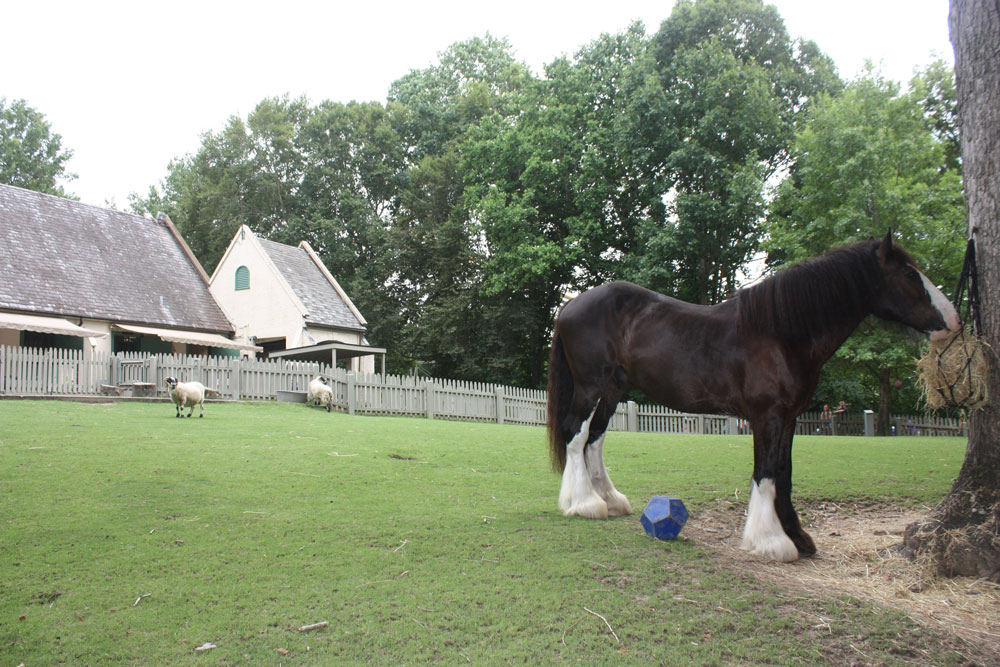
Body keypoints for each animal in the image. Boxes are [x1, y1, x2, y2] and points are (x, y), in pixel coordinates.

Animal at [552, 235, 956, 564]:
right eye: (909, 274)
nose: (953, 319)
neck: (781, 333)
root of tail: (570, 305)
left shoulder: (790, 417)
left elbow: (785, 472)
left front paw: (799, 537)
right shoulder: (767, 417)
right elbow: (766, 473)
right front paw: (771, 541)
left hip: (613, 389)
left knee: (595, 438)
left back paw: (609, 500)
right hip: (590, 386)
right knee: (576, 433)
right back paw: (583, 504)